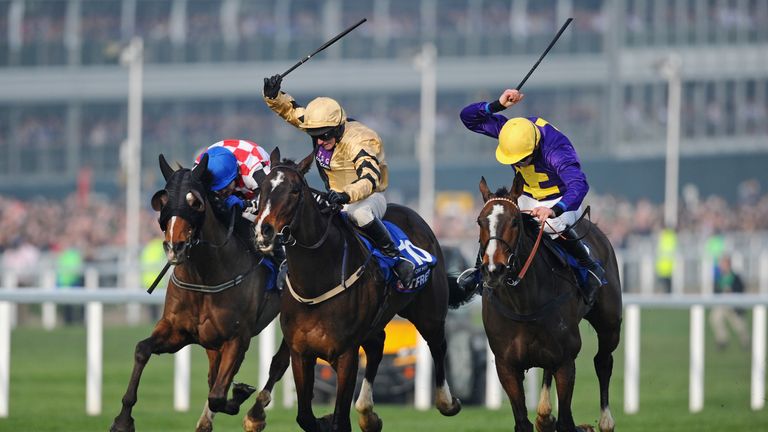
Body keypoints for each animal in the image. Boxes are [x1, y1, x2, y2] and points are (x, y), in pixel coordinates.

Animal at [108, 153, 288, 432]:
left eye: (196, 202)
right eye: (162, 201)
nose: (175, 246)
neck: (205, 279)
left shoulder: (238, 338)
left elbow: (218, 395)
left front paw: (239, 395)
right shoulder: (178, 331)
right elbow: (142, 349)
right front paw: (123, 419)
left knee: (279, 364)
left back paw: (255, 414)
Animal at [252, 148, 468, 432]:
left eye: (295, 191)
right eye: (263, 188)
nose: (264, 231)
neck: (316, 281)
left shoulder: (346, 355)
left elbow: (340, 420)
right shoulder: (301, 353)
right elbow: (305, 416)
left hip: (429, 313)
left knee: (438, 345)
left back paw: (446, 401)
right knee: (377, 347)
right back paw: (367, 413)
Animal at [476, 176, 620, 432]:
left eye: (514, 221)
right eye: (480, 221)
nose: (493, 269)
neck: (523, 303)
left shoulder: (566, 360)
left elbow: (566, 422)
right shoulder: (506, 366)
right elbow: (523, 422)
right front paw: (544, 418)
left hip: (610, 324)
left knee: (603, 361)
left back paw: (605, 421)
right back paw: (544, 415)